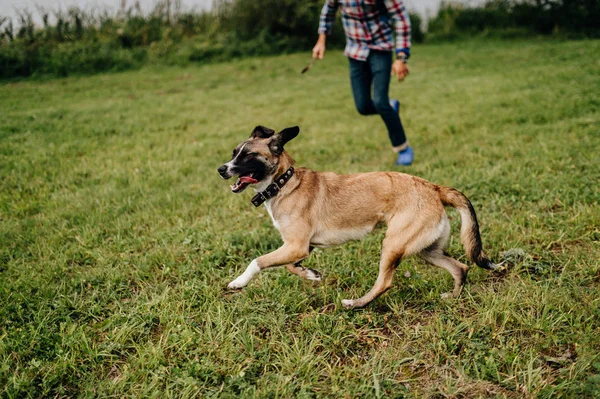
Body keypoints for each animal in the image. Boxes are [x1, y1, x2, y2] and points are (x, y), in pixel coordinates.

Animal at [217, 126, 496, 310]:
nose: (221, 169)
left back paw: (356, 304)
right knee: (460, 267)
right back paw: (453, 297)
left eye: (248, 156)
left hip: (393, 244)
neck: (284, 182)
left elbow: (257, 261)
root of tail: (433, 187)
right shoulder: (300, 247)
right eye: (234, 152)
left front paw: (238, 282)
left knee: (384, 283)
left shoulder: (295, 245)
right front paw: (310, 274)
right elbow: (290, 266)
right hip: (426, 249)